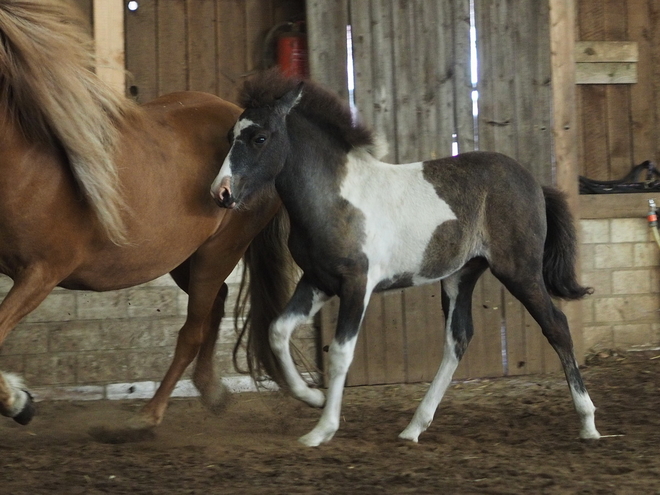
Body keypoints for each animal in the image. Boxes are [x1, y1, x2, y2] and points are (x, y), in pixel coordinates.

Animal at [0, 0, 278, 428]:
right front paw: (19, 398)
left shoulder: (40, 273)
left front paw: (19, 402)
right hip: (182, 257)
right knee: (215, 306)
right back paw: (211, 391)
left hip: (220, 251)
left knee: (192, 330)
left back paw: (148, 416)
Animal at [210, 71, 600, 448]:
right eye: (230, 136)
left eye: (260, 138)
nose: (221, 192)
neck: (336, 198)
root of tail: (535, 183)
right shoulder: (318, 281)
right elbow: (278, 331)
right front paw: (313, 398)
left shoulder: (357, 284)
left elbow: (340, 354)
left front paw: (322, 430)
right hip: (460, 276)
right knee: (458, 339)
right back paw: (414, 427)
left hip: (520, 272)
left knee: (557, 326)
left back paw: (588, 423)